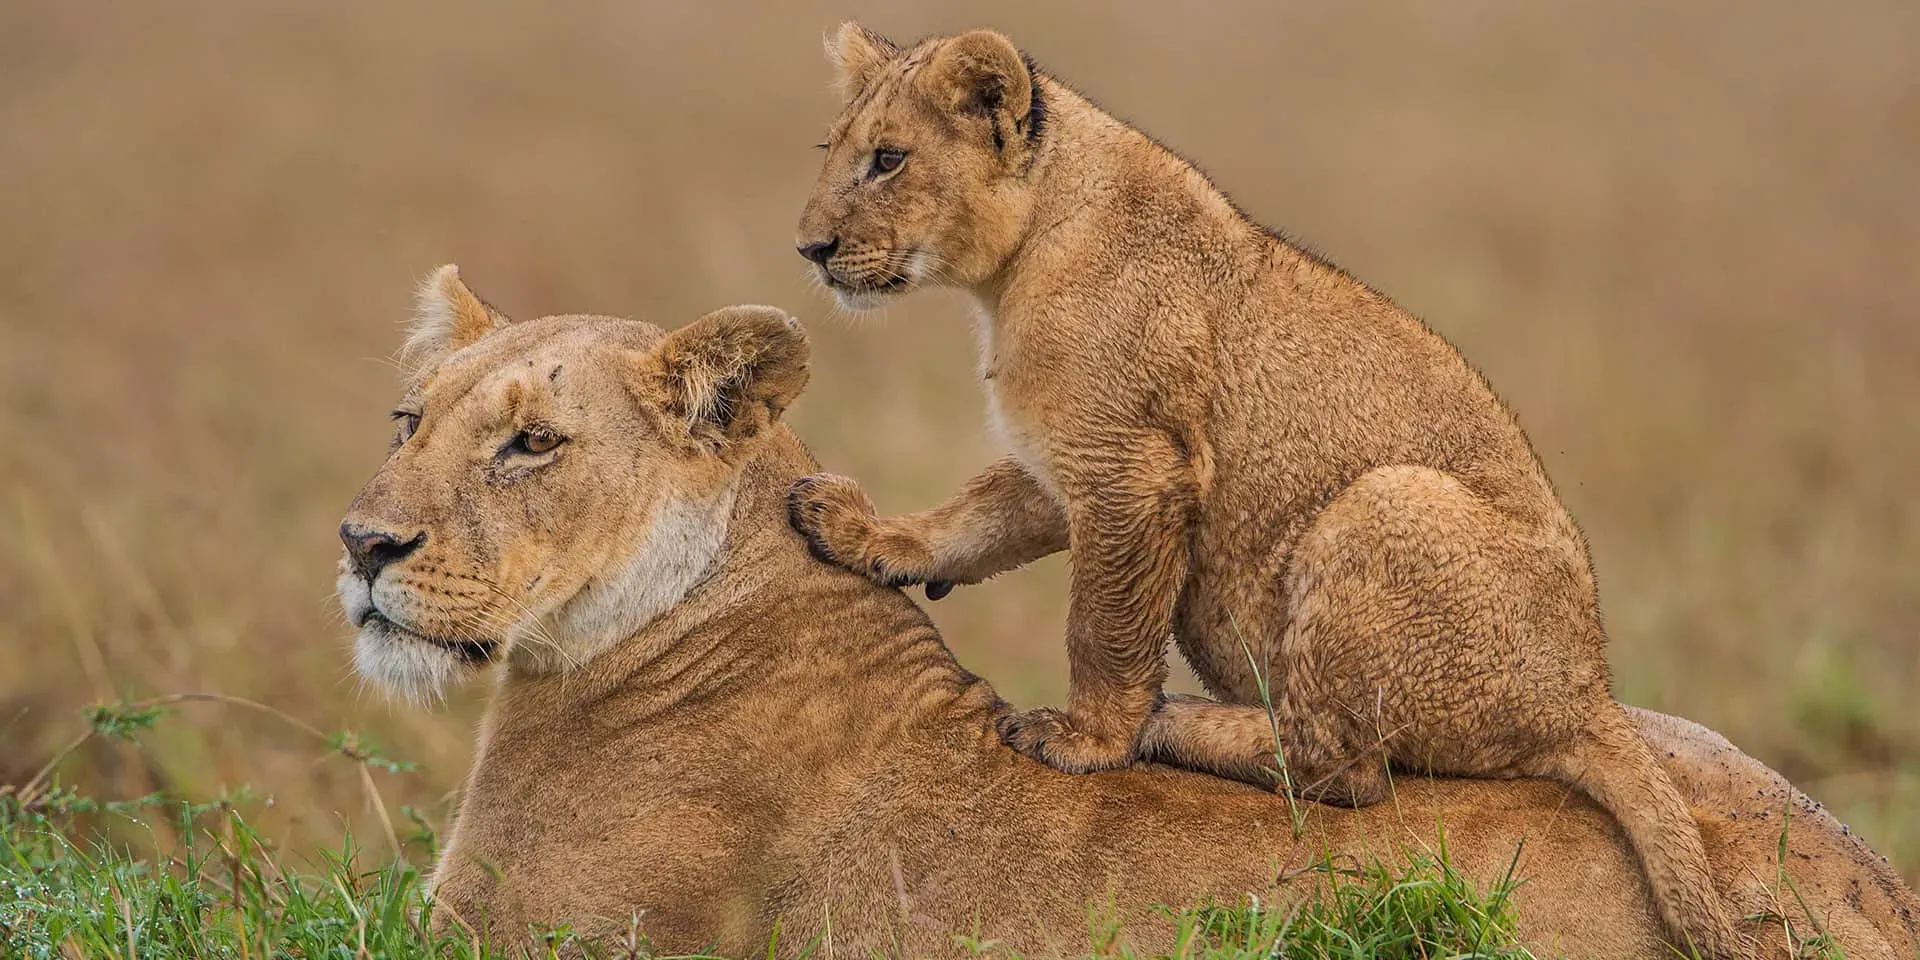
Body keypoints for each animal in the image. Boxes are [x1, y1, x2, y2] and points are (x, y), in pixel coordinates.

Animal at [788, 23, 1748, 957]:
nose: (810, 250)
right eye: (833, 150)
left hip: (1383, 504)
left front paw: (1088, 741)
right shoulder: (1063, 463)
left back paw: (1175, 721)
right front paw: (862, 533)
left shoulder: (1133, 465)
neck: (1015, 264)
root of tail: (1588, 693)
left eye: (888, 159)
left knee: (1343, 767)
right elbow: (974, 517)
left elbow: (1102, 626)